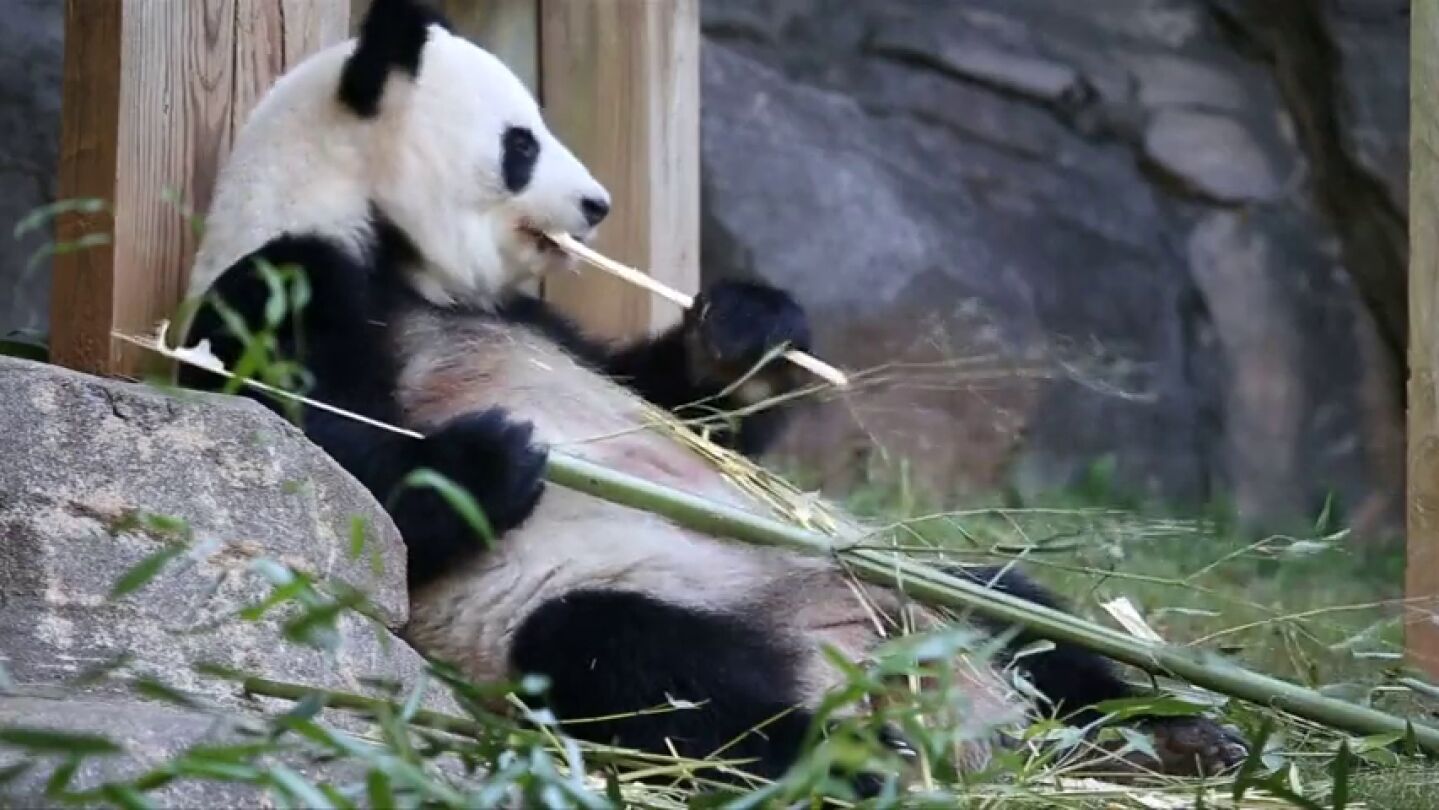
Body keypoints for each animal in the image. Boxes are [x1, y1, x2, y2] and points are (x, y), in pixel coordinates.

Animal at [179, 0, 1246, 791]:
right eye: (521, 142)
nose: (598, 205)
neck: (381, 241)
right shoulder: (285, 282)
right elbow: (335, 488)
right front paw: (492, 457)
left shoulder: (527, 315)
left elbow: (679, 402)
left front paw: (746, 328)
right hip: (598, 618)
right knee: (641, 664)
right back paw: (860, 760)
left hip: (890, 582)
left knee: (1013, 610)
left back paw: (1168, 734)